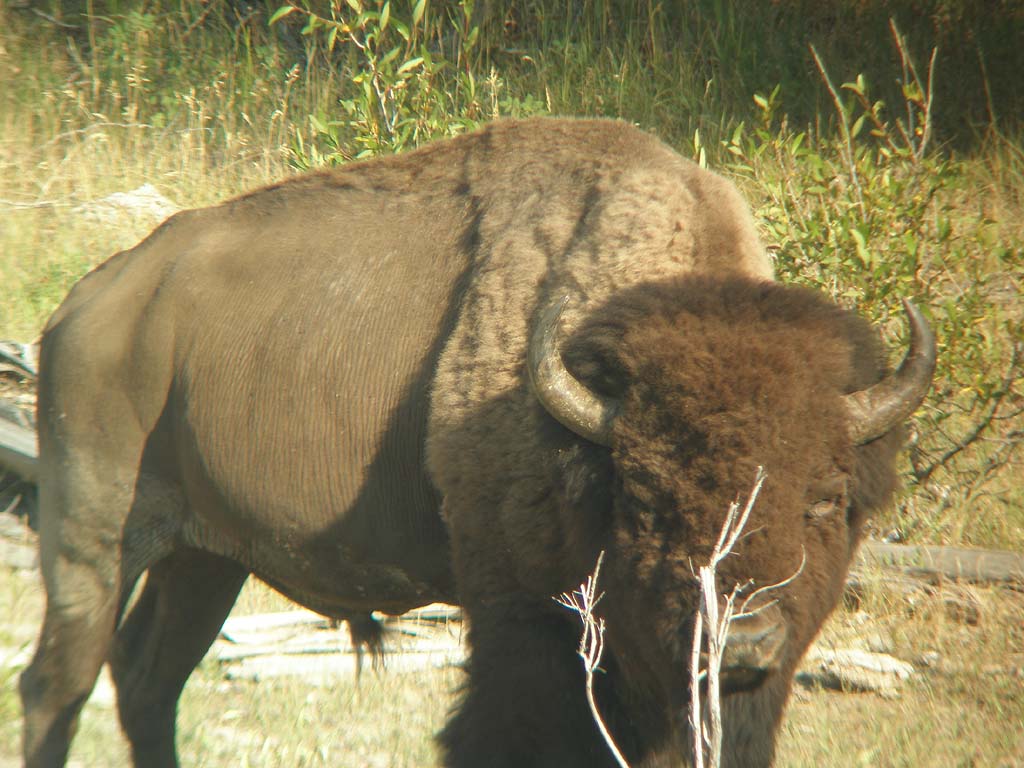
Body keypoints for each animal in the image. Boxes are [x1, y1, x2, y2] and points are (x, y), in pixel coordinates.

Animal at [20, 117, 935, 767]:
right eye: (644, 498)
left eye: (825, 500)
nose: (740, 641)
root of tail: (86, 304)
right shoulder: (521, 623)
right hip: (96, 540)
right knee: (56, 687)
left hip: (206, 557)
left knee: (147, 679)